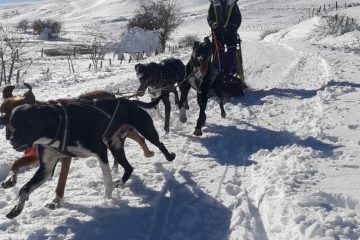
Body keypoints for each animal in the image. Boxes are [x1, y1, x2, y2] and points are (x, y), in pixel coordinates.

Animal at [5, 95, 174, 218]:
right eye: (12, 123)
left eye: (29, 121)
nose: (12, 140)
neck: (62, 125)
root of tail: (128, 100)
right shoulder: (46, 168)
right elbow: (25, 189)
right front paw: (16, 209)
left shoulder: (100, 151)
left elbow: (107, 180)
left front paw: (107, 201)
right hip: (116, 146)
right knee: (129, 168)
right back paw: (121, 182)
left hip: (146, 130)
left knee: (159, 144)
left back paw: (169, 157)